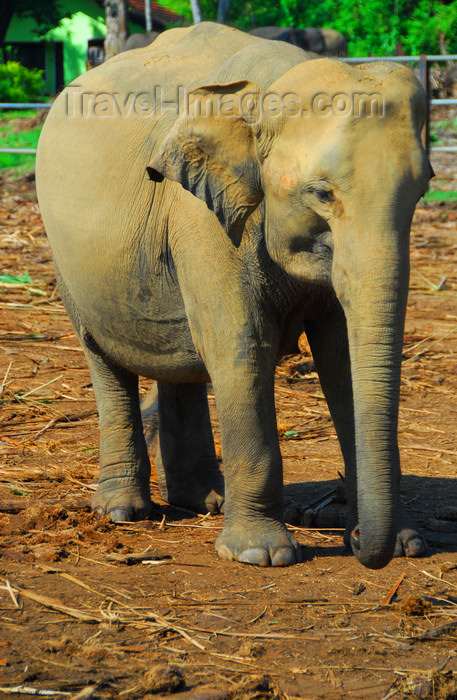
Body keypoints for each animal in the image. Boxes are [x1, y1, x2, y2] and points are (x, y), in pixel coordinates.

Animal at [34, 23, 428, 568]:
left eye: (423, 188)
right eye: (321, 194)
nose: (360, 547)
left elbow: (342, 355)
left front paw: (409, 545)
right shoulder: (200, 215)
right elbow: (241, 345)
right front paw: (260, 555)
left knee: (179, 355)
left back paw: (205, 501)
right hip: (67, 259)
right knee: (105, 359)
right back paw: (122, 511)